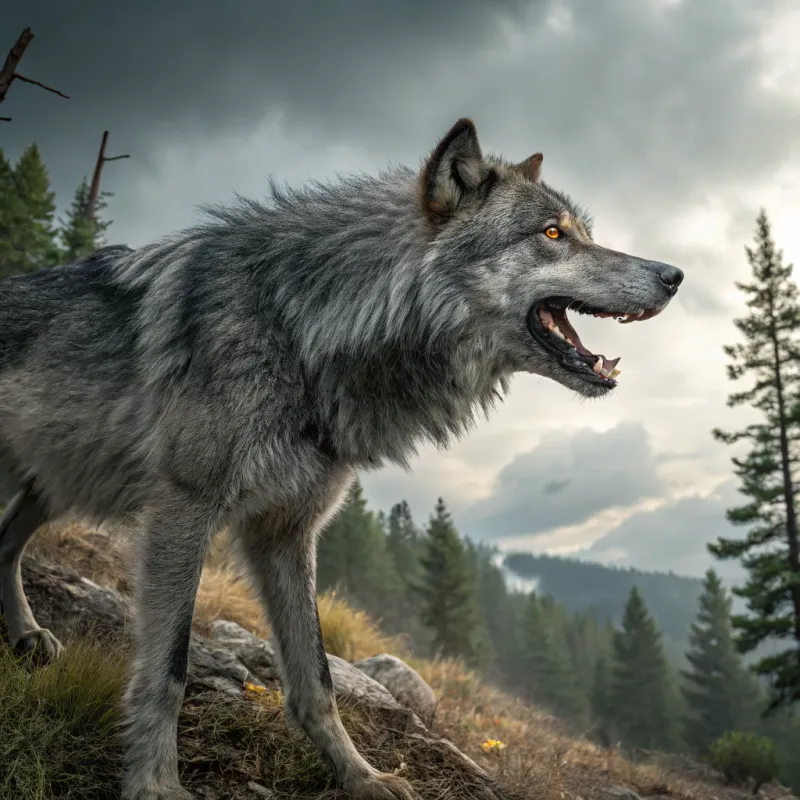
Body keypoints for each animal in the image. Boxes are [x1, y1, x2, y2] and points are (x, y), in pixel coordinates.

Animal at [0, 118, 683, 799]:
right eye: (552, 234)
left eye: (583, 232)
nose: (673, 275)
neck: (301, 331)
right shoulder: (182, 512)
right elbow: (168, 668)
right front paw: (155, 784)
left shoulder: (286, 532)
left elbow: (317, 680)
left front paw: (360, 776)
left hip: (56, 483)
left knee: (6, 542)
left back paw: (26, 635)